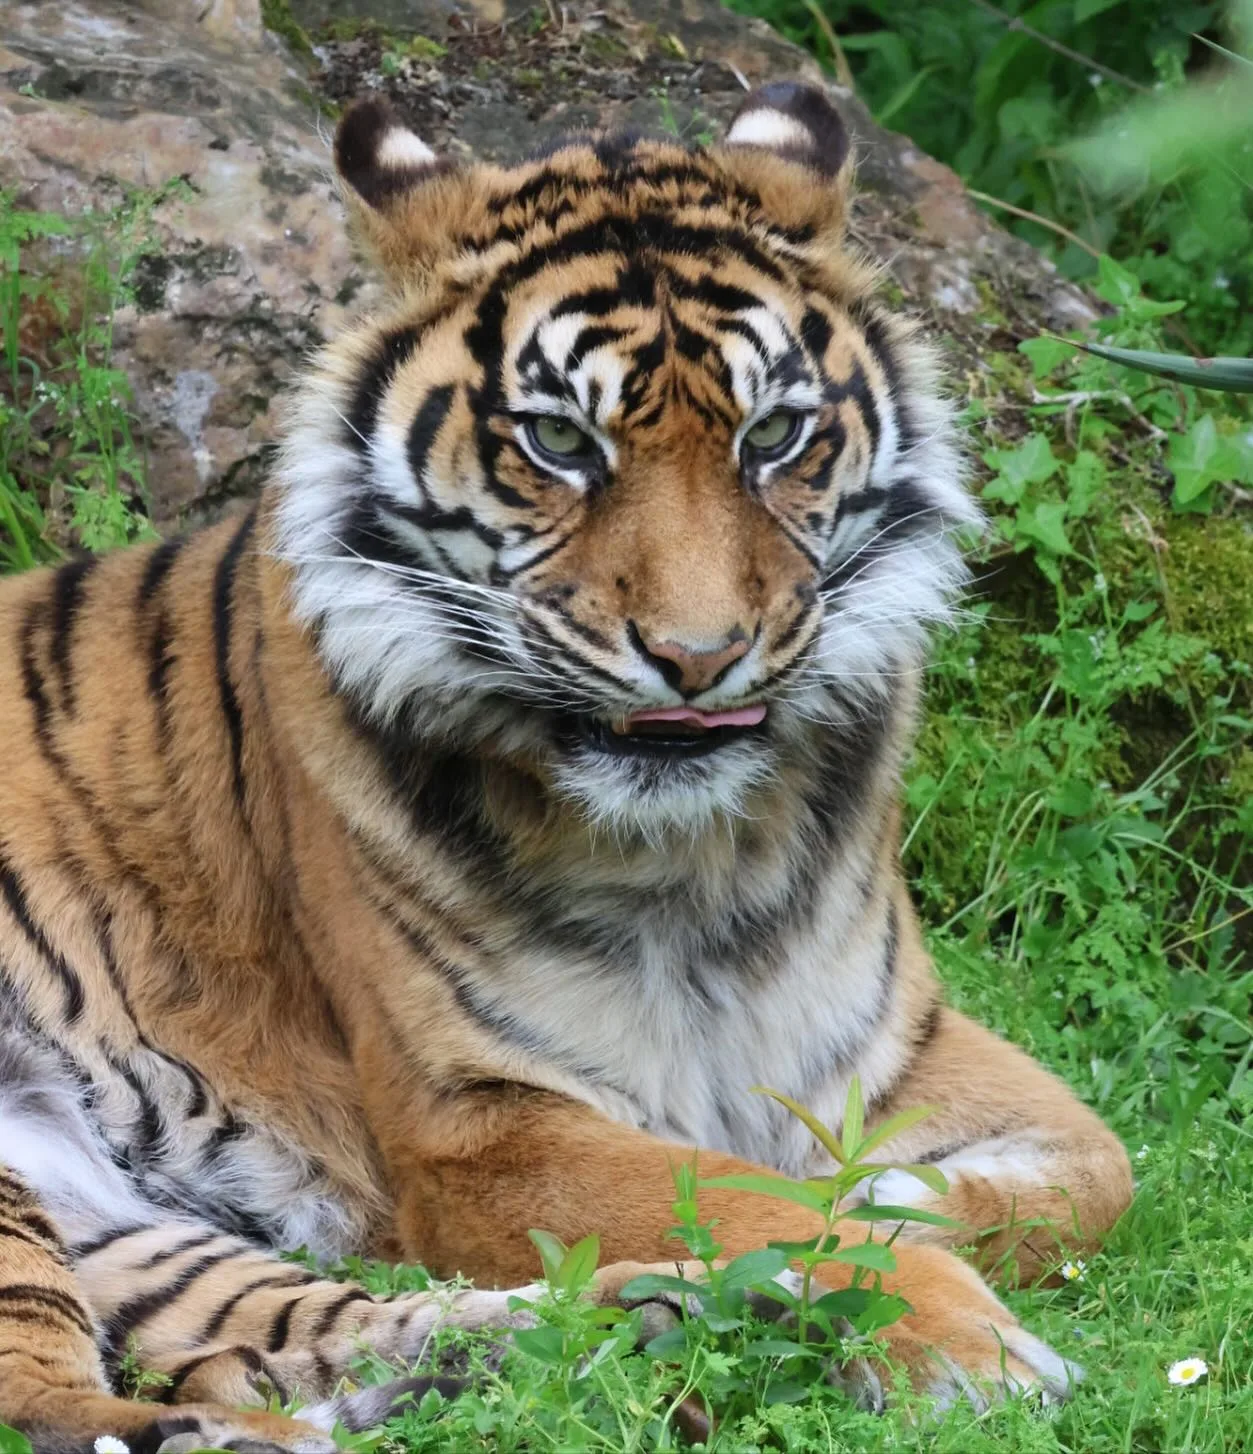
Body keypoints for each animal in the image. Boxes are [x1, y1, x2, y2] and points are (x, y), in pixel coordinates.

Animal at [0, 82, 1134, 1450]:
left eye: (773, 434)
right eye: (555, 441)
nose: (697, 656)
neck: (696, 854)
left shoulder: (890, 1045)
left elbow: (1096, 1171)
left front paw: (891, 1199)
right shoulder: (476, 1120)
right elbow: (754, 1196)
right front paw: (958, 1331)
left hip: (110, 1210)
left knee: (291, 1332)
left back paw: (632, 1325)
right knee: (59, 1395)